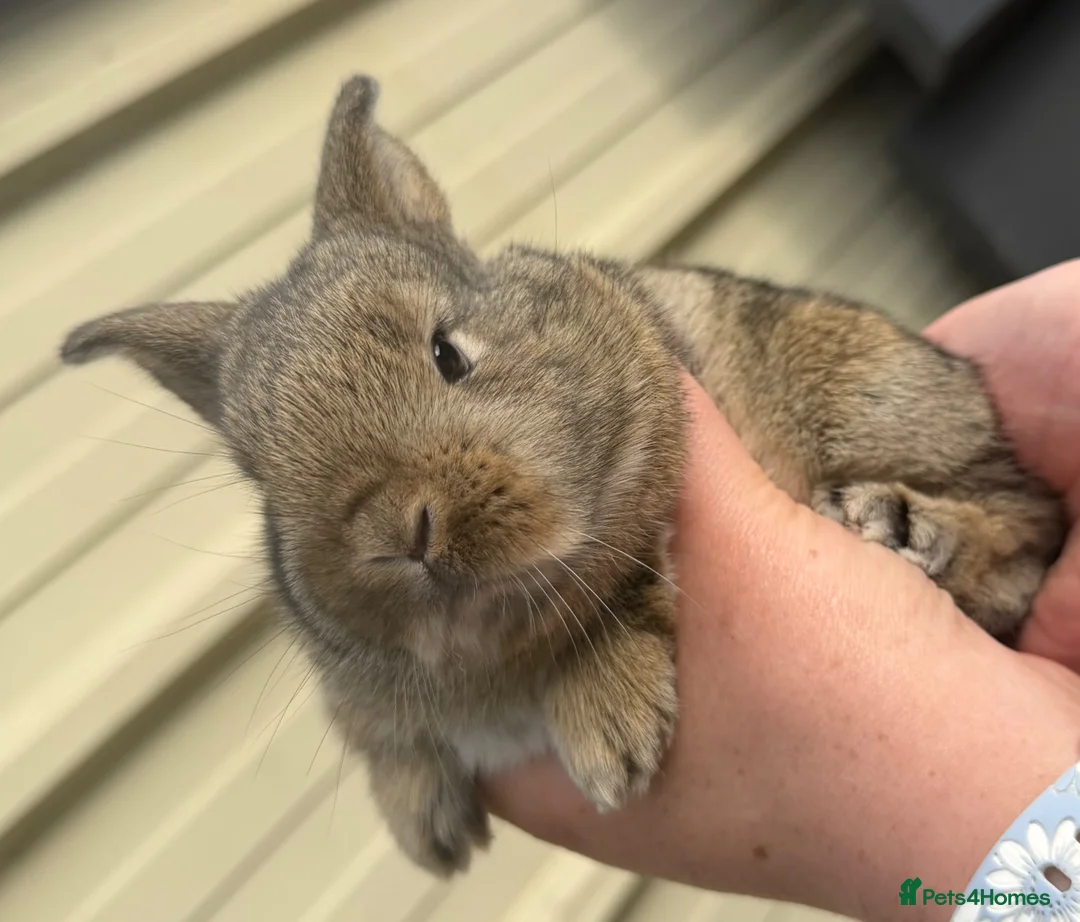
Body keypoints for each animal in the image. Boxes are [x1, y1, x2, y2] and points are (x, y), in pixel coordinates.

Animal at [59, 75, 1066, 876]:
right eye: (263, 478)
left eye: (448, 351)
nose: (397, 534)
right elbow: (375, 735)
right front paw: (425, 830)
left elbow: (626, 586)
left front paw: (609, 743)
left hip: (883, 400)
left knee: (1030, 522)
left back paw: (905, 524)